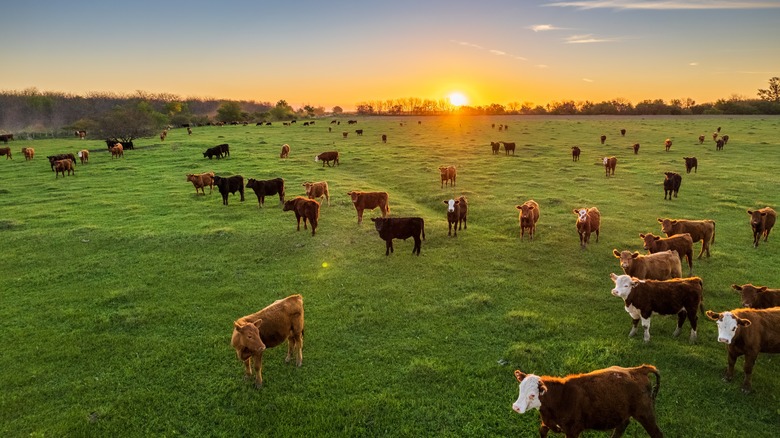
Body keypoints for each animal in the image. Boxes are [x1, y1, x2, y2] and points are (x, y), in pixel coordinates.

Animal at [512, 362, 664, 438]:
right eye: (520, 388)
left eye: (533, 395)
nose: (516, 407)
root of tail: (638, 370)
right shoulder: (547, 423)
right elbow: (542, 432)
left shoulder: (573, 430)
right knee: (622, 426)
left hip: (645, 412)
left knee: (657, 434)